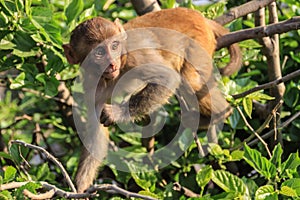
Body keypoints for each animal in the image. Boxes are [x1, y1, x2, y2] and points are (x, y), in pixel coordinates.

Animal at [62, 7, 241, 192]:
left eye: (114, 46)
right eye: (99, 52)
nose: (111, 63)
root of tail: (198, 16)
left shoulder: (136, 55)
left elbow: (168, 77)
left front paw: (116, 114)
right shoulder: (91, 83)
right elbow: (95, 132)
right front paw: (80, 187)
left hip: (199, 43)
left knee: (189, 79)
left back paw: (221, 113)